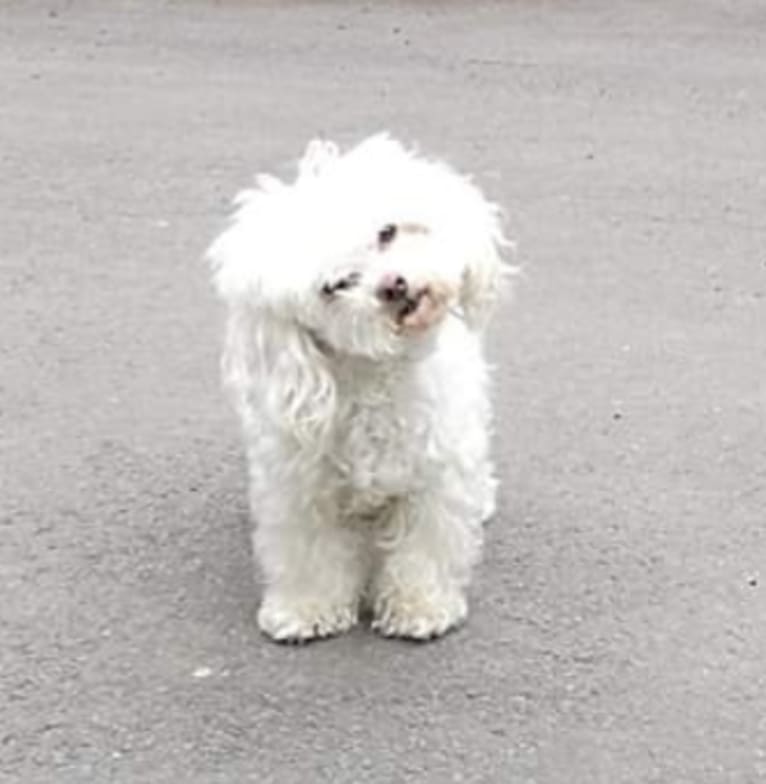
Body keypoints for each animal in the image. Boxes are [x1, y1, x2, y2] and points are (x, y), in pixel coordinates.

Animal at [207, 135, 512, 644]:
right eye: (335, 286)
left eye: (386, 233)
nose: (394, 285)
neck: (376, 381)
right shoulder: (299, 484)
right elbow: (310, 552)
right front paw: (306, 608)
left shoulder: (436, 472)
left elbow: (423, 549)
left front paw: (419, 607)